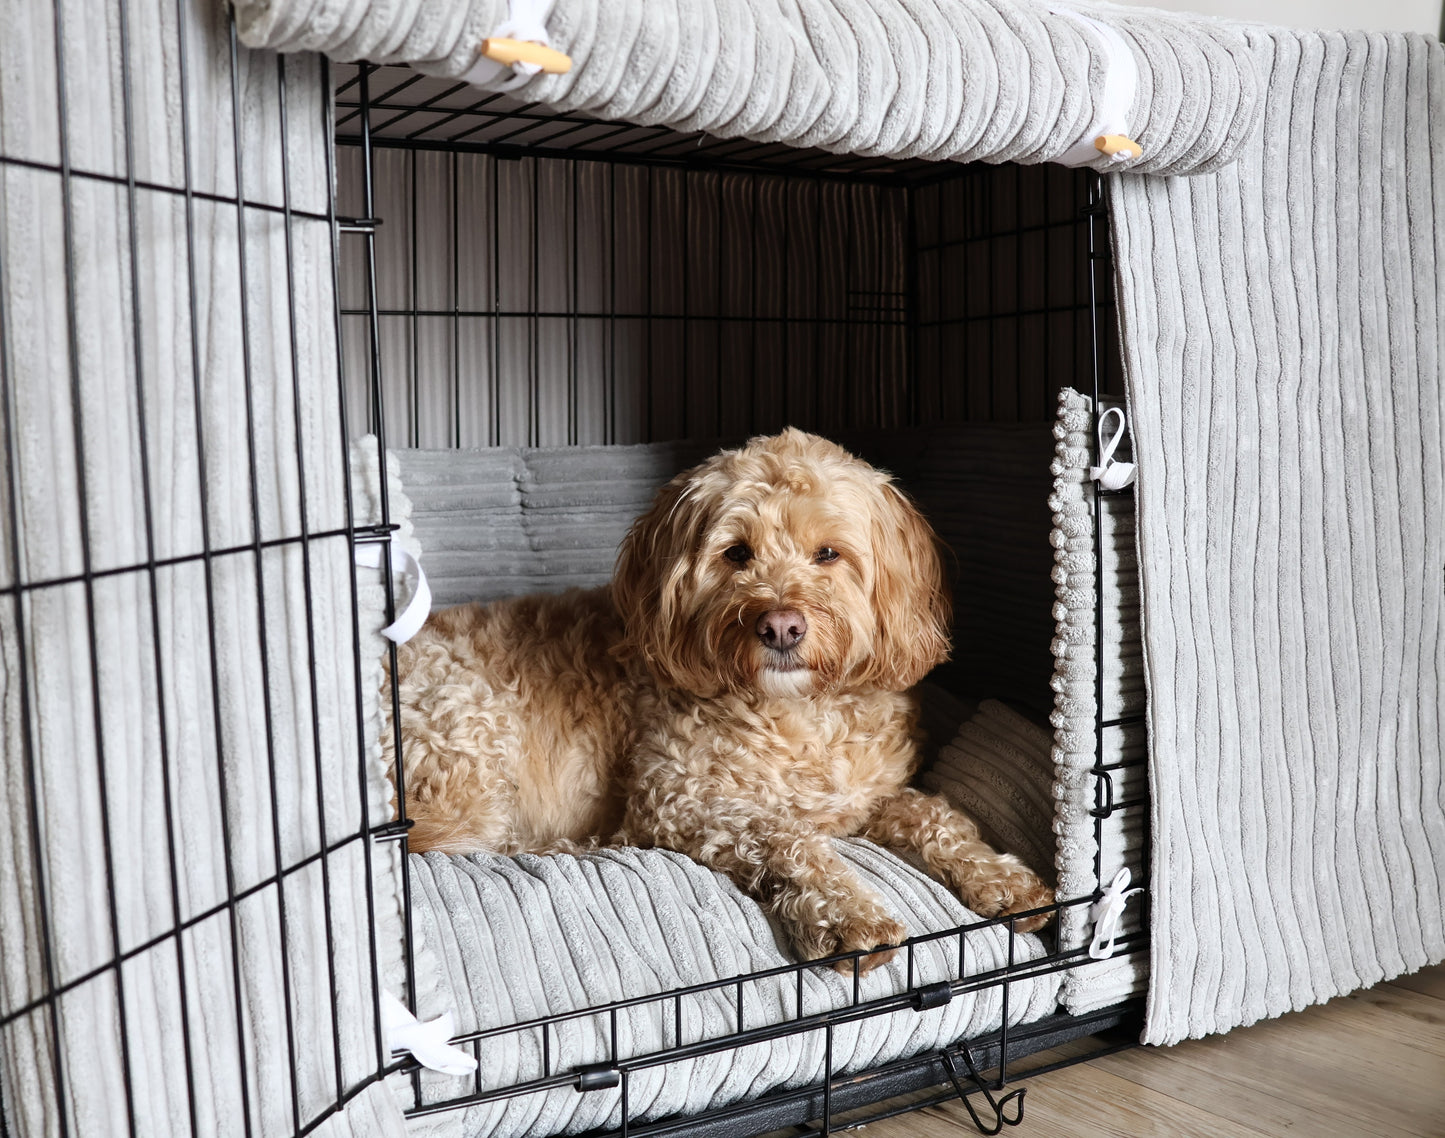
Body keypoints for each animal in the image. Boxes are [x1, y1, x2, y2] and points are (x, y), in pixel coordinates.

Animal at [390, 427, 1057, 970]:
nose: (781, 626)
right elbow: (787, 838)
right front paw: (848, 915)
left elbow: (934, 814)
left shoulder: (864, 799)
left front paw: (1002, 878)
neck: (798, 715)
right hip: (470, 742)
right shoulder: (683, 798)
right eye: (736, 552)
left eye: (829, 553)